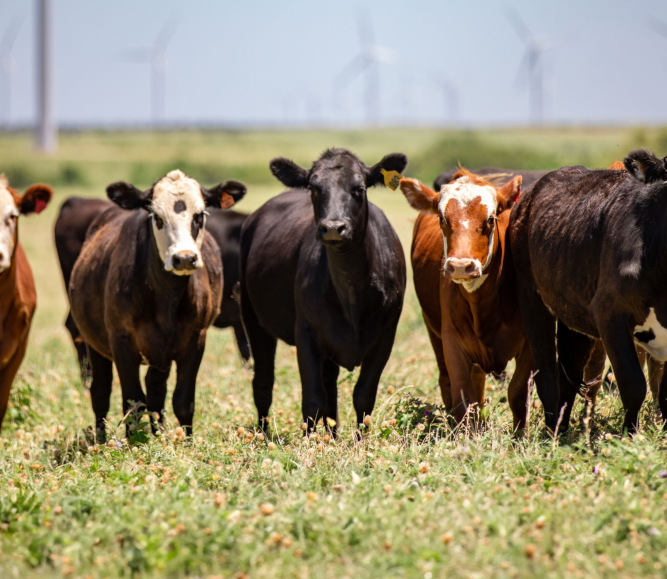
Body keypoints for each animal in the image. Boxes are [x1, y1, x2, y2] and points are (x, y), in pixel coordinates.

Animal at [239, 148, 407, 434]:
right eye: (314, 188)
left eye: (359, 189)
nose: (333, 228)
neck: (351, 293)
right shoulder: (306, 332)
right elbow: (312, 400)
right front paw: (309, 442)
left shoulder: (386, 334)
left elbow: (363, 396)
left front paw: (360, 441)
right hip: (253, 318)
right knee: (263, 383)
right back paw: (263, 434)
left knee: (330, 387)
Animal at [399, 169, 531, 430]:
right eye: (442, 218)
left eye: (490, 219)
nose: (461, 265)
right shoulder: (452, 342)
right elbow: (463, 397)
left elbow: (517, 393)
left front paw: (519, 436)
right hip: (433, 330)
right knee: (448, 382)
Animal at [509, 149, 667, 434]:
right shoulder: (610, 314)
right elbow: (633, 385)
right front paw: (629, 436)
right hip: (531, 298)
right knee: (547, 372)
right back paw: (552, 431)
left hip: (573, 315)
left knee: (569, 374)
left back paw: (562, 428)